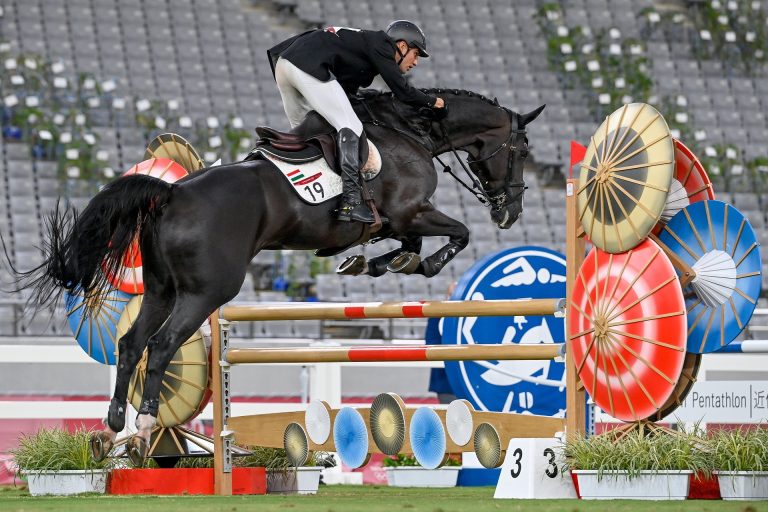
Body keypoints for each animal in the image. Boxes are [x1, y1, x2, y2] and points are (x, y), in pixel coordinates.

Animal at [19, 90, 544, 466]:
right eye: (522, 150)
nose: (511, 213)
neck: (410, 132)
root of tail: (171, 193)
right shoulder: (409, 212)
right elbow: (456, 233)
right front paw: (418, 264)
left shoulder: (399, 221)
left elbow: (408, 246)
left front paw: (375, 264)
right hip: (207, 291)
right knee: (162, 345)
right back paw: (146, 424)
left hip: (161, 289)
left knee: (131, 343)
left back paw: (114, 423)